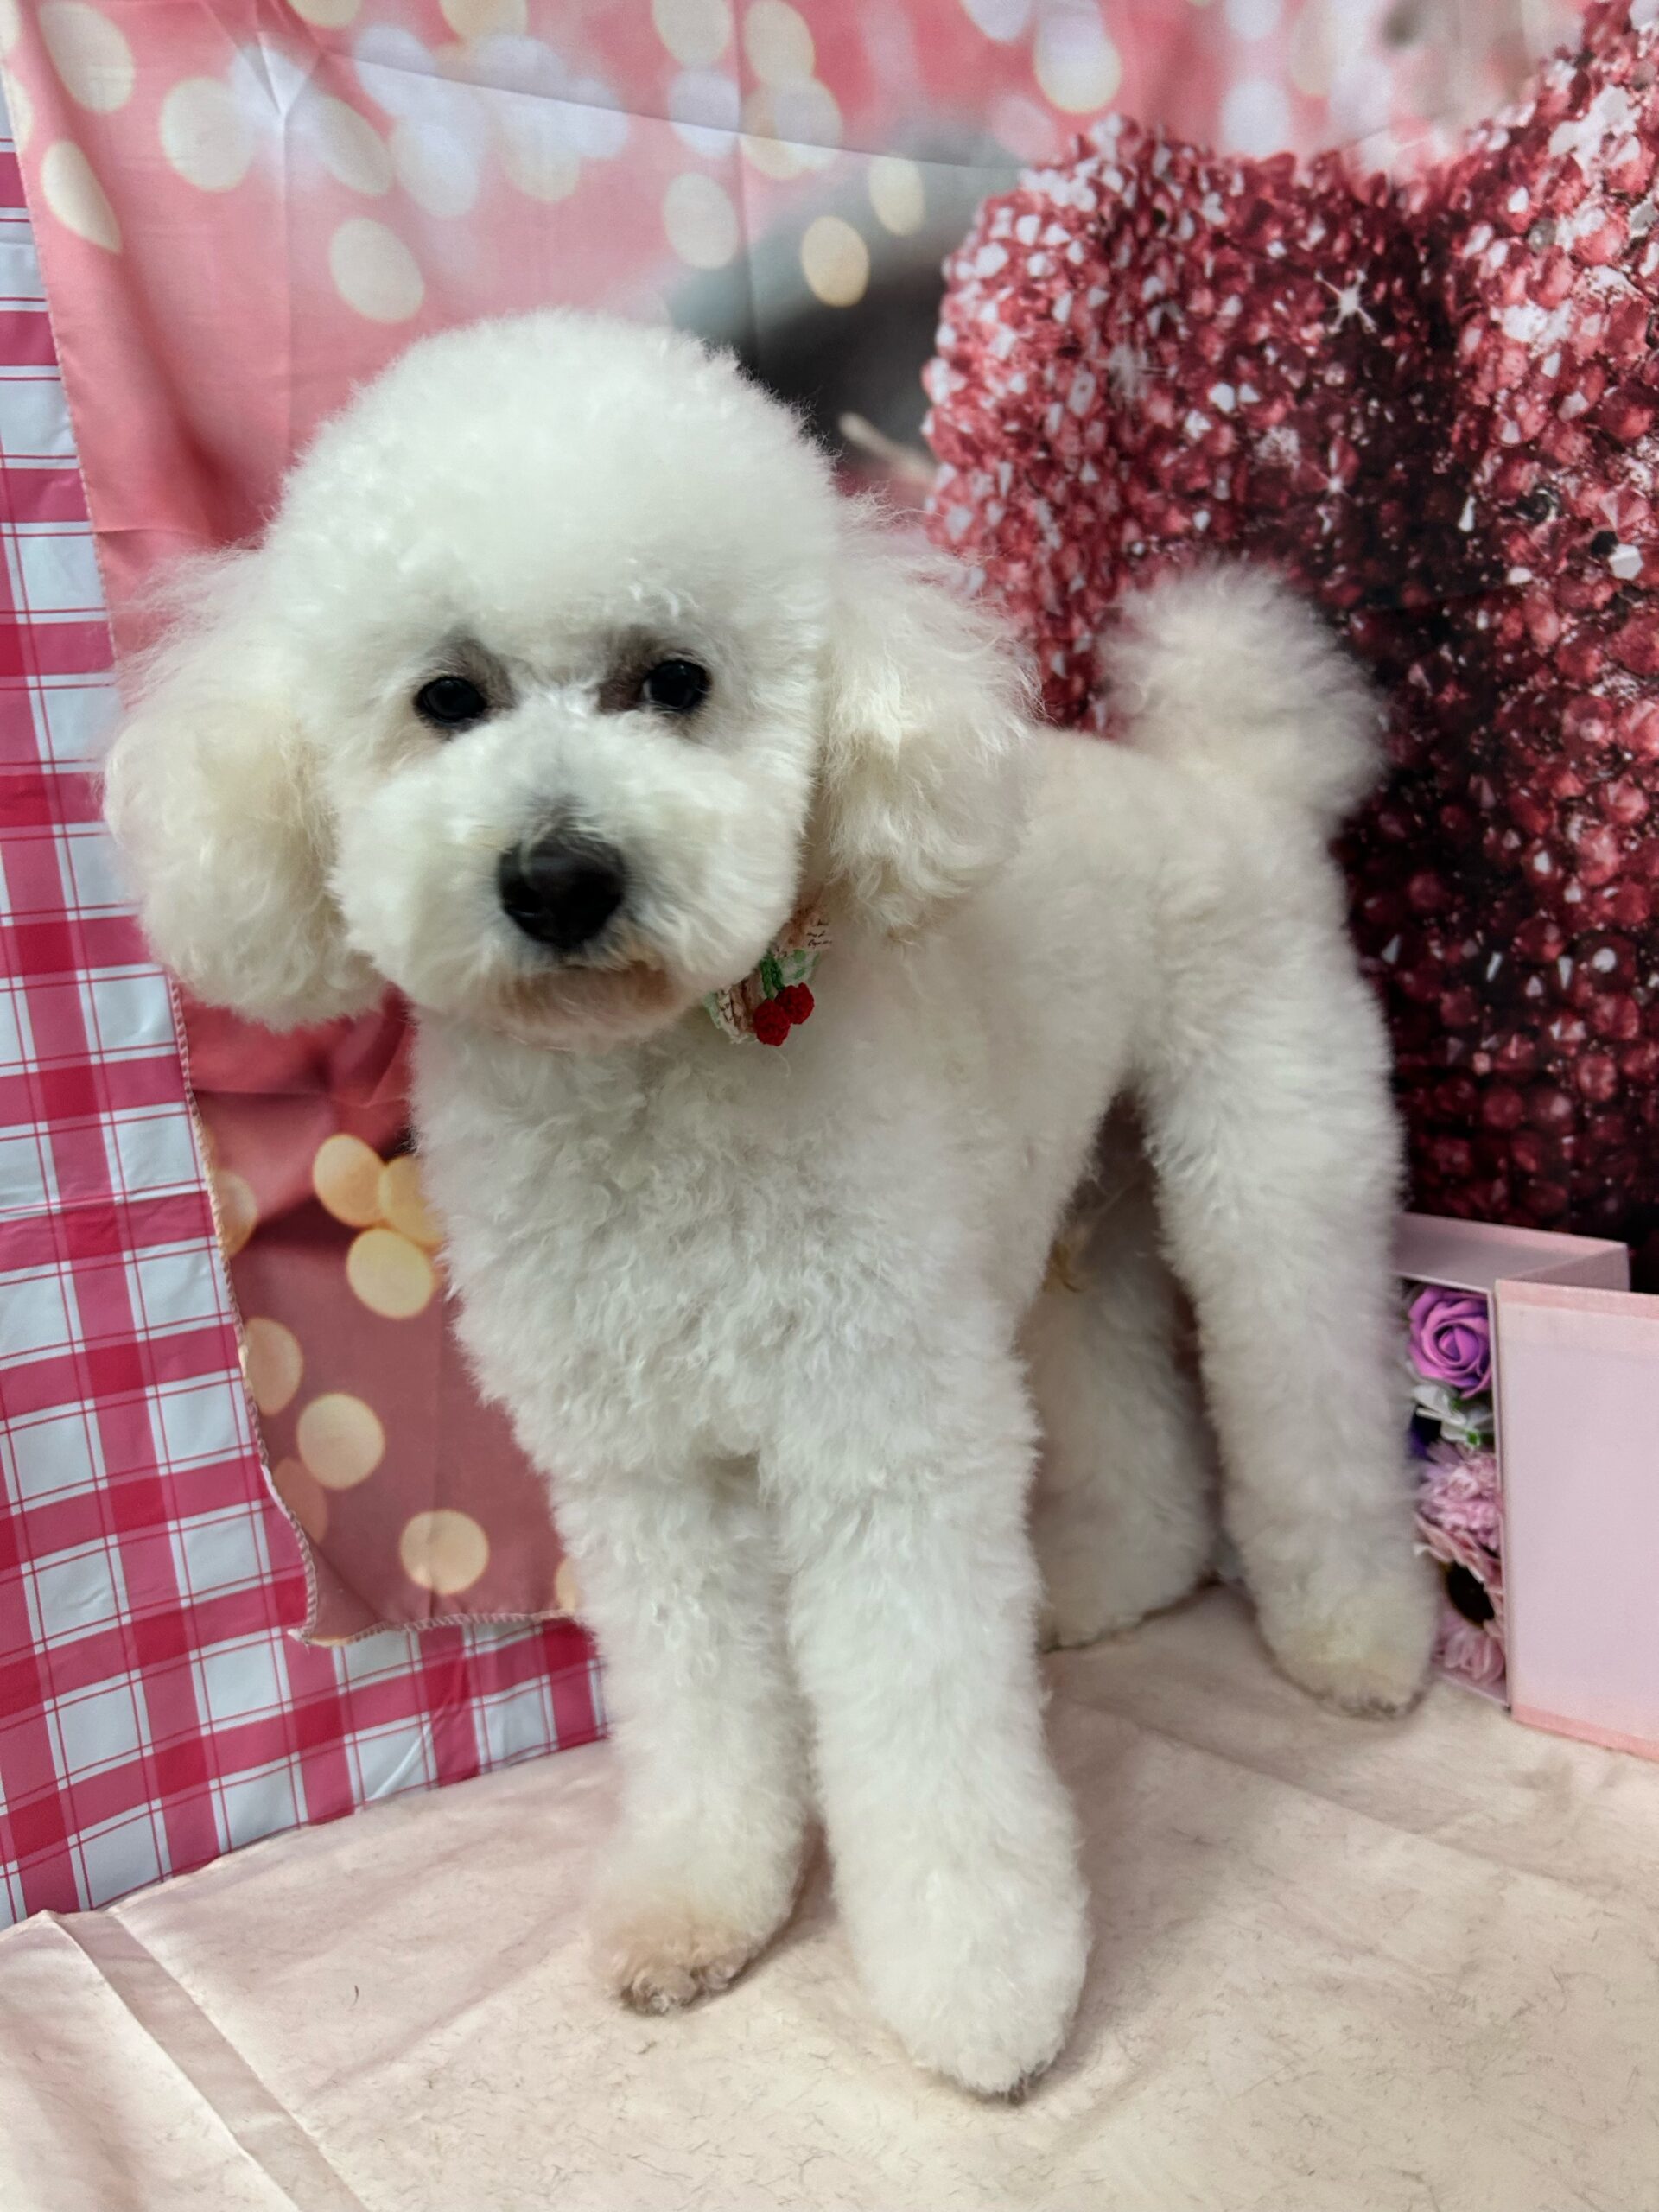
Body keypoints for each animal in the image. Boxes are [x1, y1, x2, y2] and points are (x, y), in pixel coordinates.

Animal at [104, 311, 1436, 2096]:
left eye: (676, 681)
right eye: (447, 697)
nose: (560, 875)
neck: (649, 1101)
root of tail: (1230, 779)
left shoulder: (877, 1438)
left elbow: (924, 1732)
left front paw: (982, 1990)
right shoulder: (647, 1473)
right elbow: (702, 1712)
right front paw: (699, 1909)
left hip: (1273, 1156)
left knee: (1308, 1379)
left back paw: (1361, 1643)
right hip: (1067, 1216)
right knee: (1120, 1388)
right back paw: (1108, 1588)